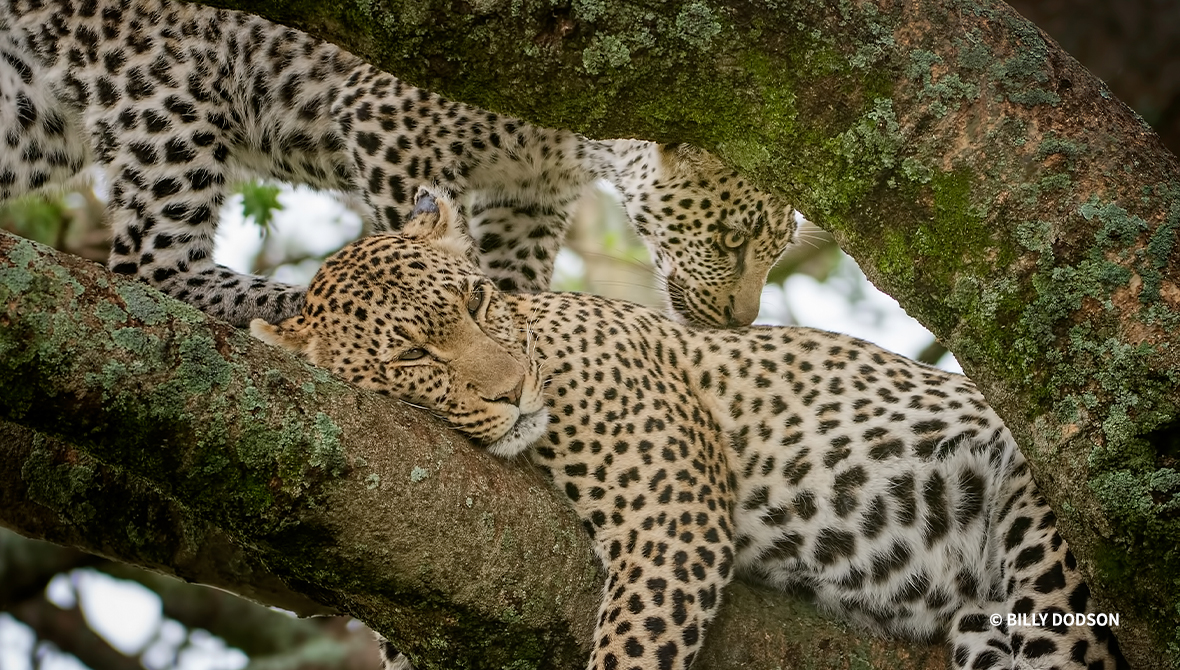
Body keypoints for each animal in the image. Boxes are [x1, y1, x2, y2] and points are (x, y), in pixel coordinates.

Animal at [0, 0, 797, 327]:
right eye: (731, 241)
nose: (741, 322)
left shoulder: (529, 200)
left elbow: (511, 277)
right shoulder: (387, 123)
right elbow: (426, 247)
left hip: (30, 115)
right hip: (169, 87)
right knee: (152, 266)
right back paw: (286, 300)